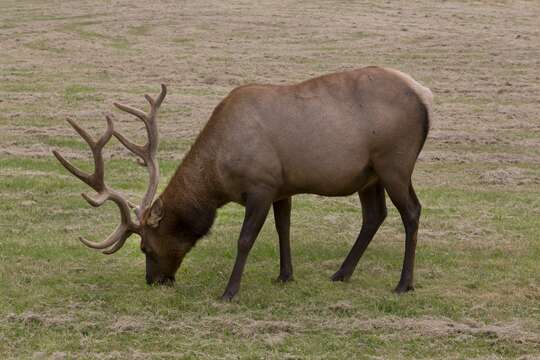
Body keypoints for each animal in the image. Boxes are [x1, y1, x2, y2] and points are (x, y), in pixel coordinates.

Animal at [54, 66, 432, 300]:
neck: (219, 178)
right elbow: (283, 229)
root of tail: (424, 94)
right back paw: (341, 273)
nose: (153, 280)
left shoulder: (261, 185)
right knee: (375, 215)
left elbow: (246, 238)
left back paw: (404, 284)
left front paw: (229, 291)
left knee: (412, 211)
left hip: (395, 163)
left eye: (145, 247)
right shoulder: (282, 186)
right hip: (369, 174)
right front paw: (284, 275)